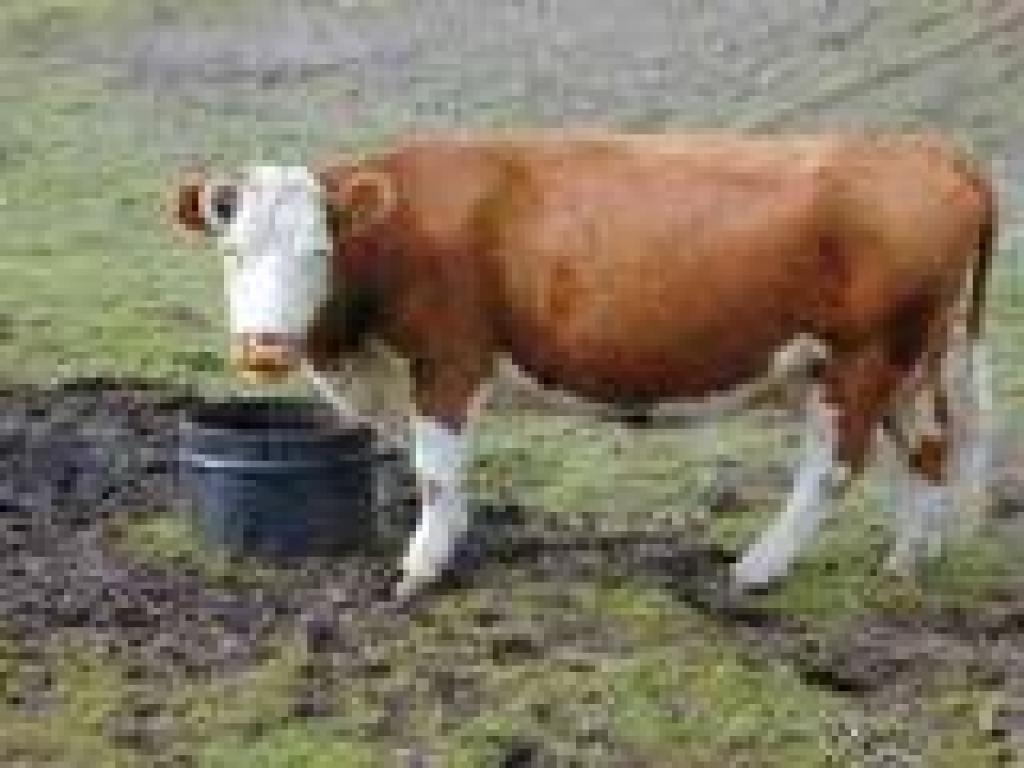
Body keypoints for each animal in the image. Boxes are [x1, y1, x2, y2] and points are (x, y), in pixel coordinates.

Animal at [173, 133, 996, 601]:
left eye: (319, 251)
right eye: (231, 250)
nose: (265, 347)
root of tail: (927, 150)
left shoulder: (448, 362)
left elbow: (434, 469)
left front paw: (422, 566)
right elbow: (442, 469)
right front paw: (453, 538)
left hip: (861, 359)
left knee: (833, 468)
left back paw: (759, 567)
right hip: (910, 363)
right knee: (925, 451)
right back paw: (907, 559)